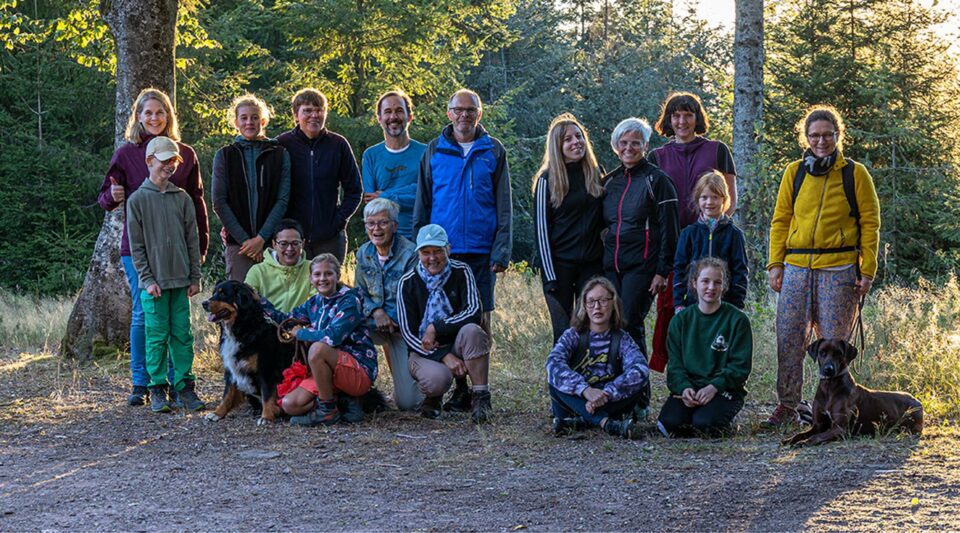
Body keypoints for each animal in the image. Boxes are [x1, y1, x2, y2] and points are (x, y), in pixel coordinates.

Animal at [202, 280, 296, 424]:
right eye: (214, 292)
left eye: (223, 294)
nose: (204, 303)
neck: (242, 329)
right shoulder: (231, 368)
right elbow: (227, 394)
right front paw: (218, 413)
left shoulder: (266, 369)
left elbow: (267, 394)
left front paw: (266, 417)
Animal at [783, 338, 923, 447]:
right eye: (822, 352)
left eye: (839, 353)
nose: (828, 369)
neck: (829, 388)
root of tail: (917, 401)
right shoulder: (818, 425)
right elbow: (800, 434)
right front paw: (789, 439)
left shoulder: (840, 429)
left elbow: (816, 437)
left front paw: (803, 442)